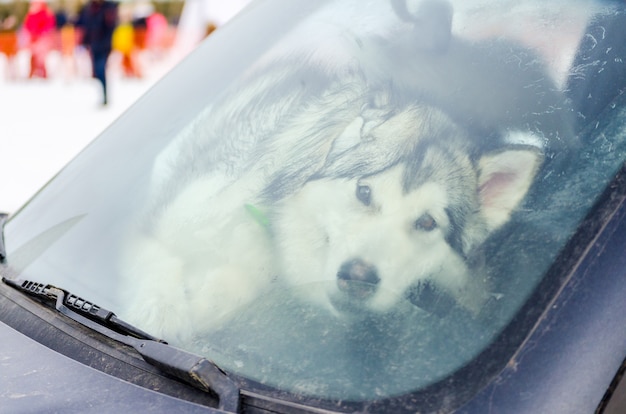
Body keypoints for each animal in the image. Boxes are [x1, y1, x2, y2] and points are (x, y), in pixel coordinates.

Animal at [118, 0, 572, 342]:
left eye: (427, 222)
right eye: (364, 193)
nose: (359, 277)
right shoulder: (156, 225)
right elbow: (156, 263)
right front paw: (161, 312)